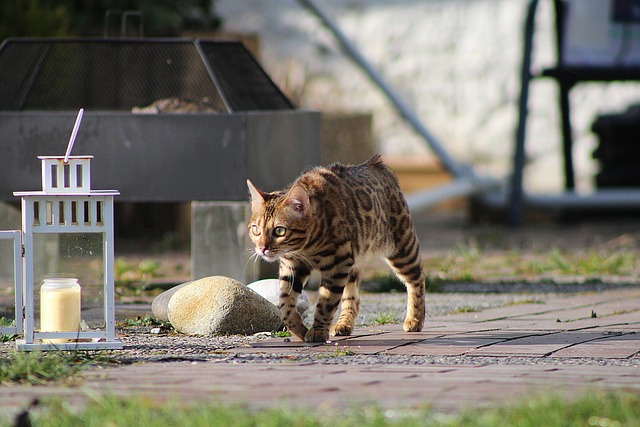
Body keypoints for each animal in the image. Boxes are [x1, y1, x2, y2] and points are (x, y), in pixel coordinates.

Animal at [249, 155, 424, 342]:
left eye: (279, 230)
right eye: (256, 229)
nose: (262, 248)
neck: (304, 248)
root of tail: (377, 165)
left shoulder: (337, 264)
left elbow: (327, 301)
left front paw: (318, 331)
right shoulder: (292, 266)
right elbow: (284, 303)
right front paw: (299, 329)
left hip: (401, 248)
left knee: (417, 280)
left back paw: (415, 319)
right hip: (354, 263)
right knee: (353, 298)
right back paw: (343, 324)